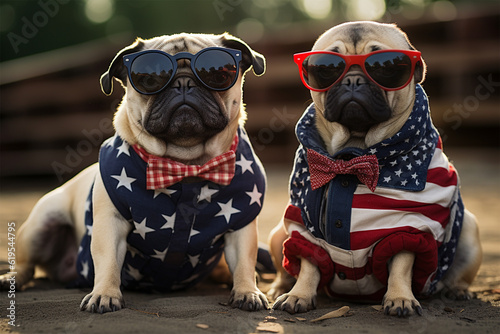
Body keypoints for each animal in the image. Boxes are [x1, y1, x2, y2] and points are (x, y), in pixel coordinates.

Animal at [0, 32, 270, 314]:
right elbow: (107, 260)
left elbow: (244, 261)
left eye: (219, 74)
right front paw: (105, 294)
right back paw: (11, 278)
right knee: (26, 265)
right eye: (149, 79)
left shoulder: (240, 223)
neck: (183, 165)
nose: (184, 83)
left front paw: (247, 291)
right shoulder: (111, 223)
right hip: (41, 224)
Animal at [268, 22, 482, 318]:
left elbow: (401, 265)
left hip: (469, 232)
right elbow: (309, 264)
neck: (352, 154)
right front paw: (299, 295)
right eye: (327, 69)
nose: (353, 80)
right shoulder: (304, 226)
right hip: (278, 234)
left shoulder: (408, 226)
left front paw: (400, 298)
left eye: (386, 67)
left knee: (458, 273)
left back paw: (458, 290)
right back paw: (280, 286)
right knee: (285, 266)